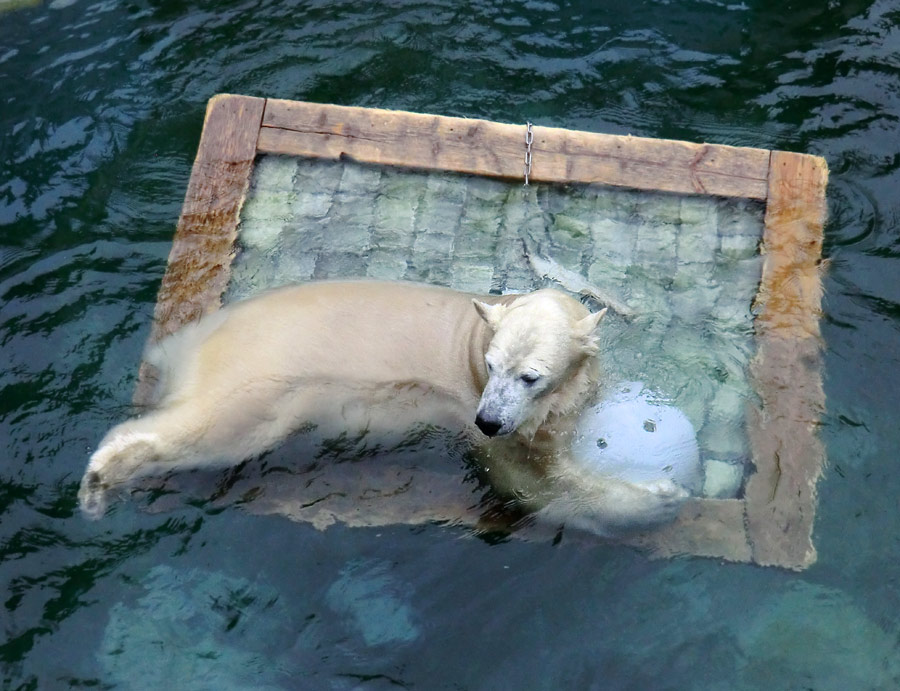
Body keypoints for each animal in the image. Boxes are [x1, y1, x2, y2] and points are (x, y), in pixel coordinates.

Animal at [81, 278, 684, 532]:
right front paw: (657, 498)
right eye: (491, 366)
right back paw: (98, 482)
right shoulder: (468, 409)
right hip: (256, 379)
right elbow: (531, 481)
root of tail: (187, 341)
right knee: (213, 429)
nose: (489, 420)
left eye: (528, 375)